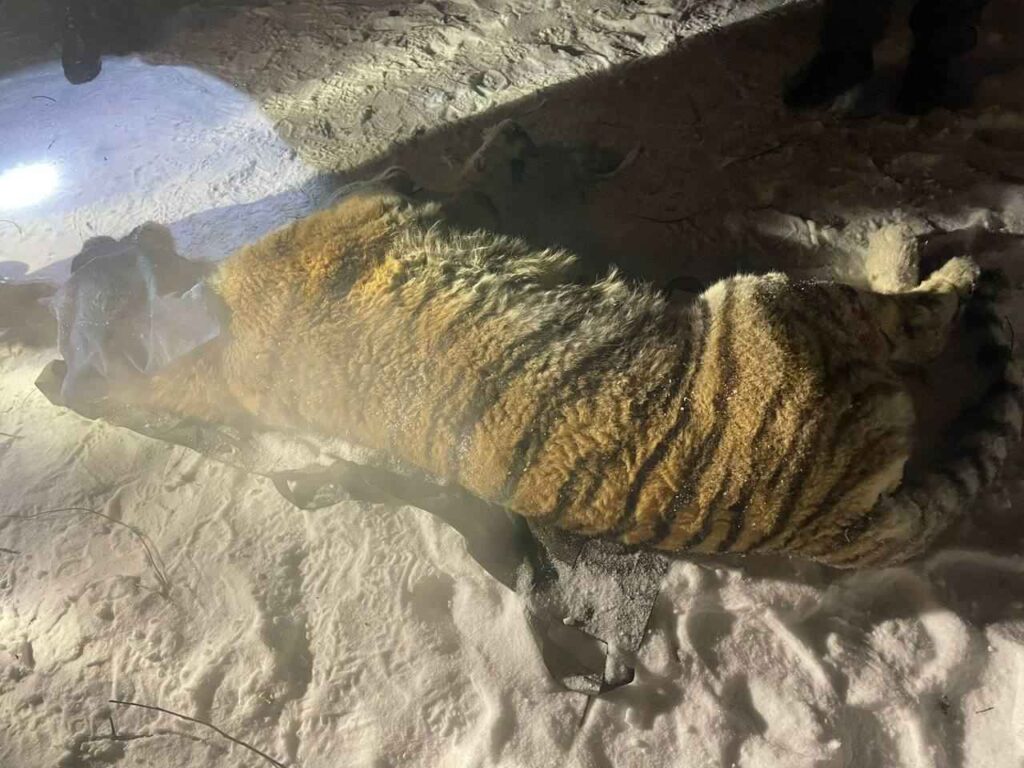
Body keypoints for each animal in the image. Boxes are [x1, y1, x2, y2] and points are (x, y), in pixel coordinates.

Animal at [90, 121, 1021, 569]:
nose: (107, 239)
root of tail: (833, 526)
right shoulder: (416, 213)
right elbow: (464, 181)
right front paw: (497, 150)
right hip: (778, 303)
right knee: (923, 317)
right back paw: (919, 249)